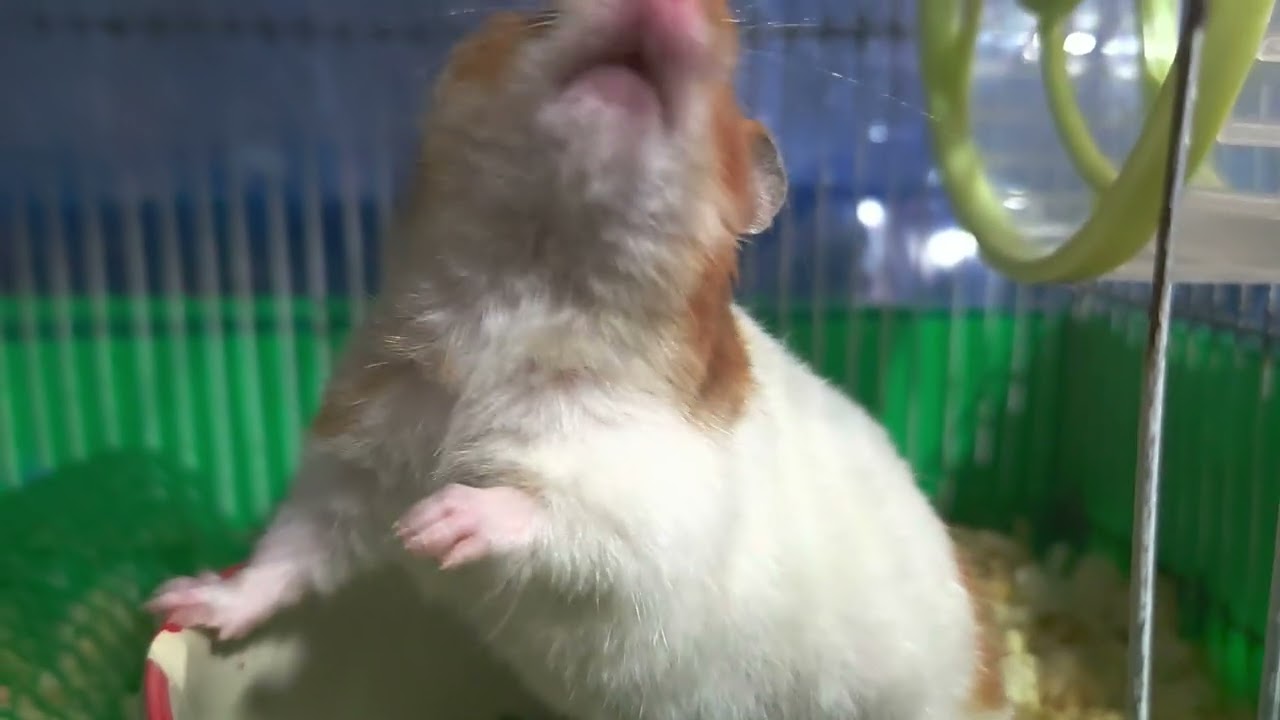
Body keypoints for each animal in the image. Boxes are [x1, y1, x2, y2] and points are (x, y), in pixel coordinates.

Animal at [147, 0, 1009, 718]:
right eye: (535, 8)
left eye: (728, 87)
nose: (662, 3)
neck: (529, 282)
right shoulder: (352, 460)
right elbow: (291, 552)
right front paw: (180, 601)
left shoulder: (655, 511)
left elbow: (560, 516)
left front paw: (436, 522)